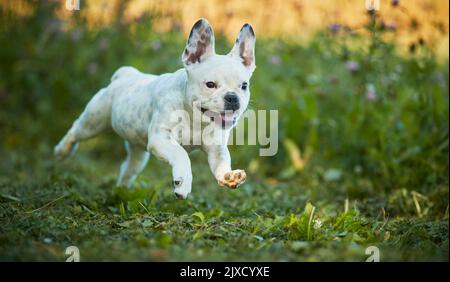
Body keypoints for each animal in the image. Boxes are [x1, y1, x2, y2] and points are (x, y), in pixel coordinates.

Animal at [54, 18, 255, 199]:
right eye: (210, 84)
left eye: (244, 86)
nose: (232, 97)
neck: (195, 120)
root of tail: (125, 74)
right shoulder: (161, 138)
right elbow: (181, 153)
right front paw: (182, 183)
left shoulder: (216, 148)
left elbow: (222, 161)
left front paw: (229, 176)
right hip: (94, 121)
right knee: (76, 131)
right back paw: (62, 151)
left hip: (137, 154)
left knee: (127, 169)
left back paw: (120, 193)